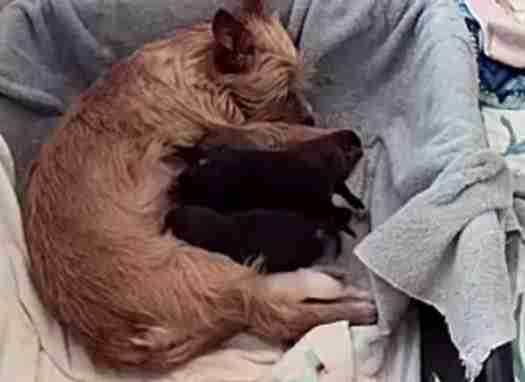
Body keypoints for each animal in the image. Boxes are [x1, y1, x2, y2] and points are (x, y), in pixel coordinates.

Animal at [22, 0, 374, 370]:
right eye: (285, 94)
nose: (311, 116)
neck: (202, 70)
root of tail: (125, 343)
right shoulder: (242, 131)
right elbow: (287, 133)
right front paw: (335, 137)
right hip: (200, 268)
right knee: (275, 308)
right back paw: (347, 299)